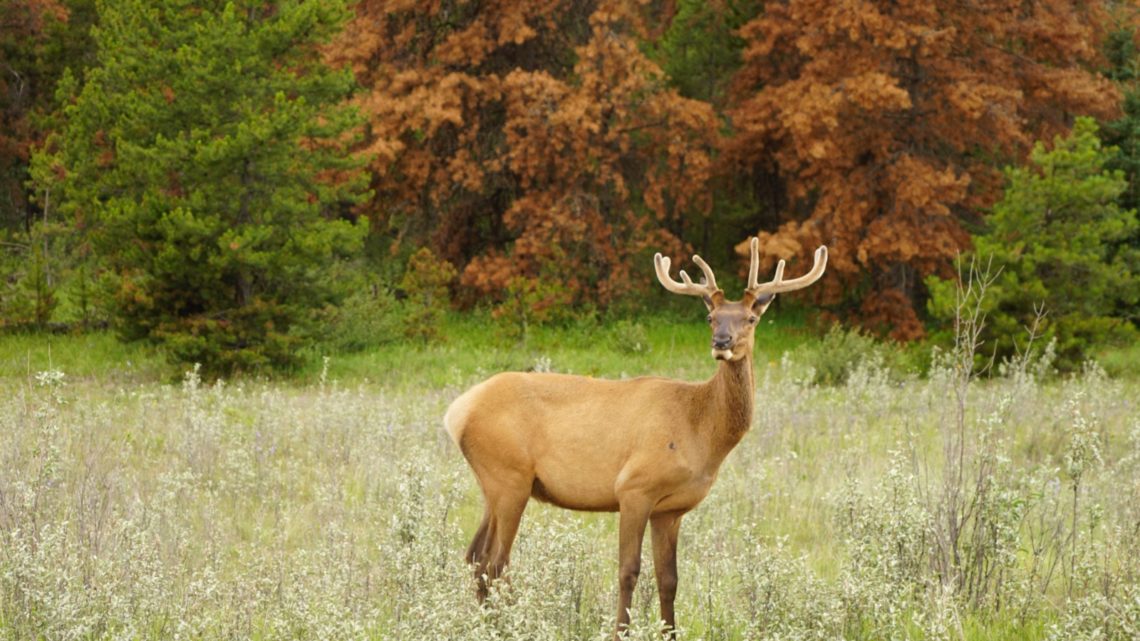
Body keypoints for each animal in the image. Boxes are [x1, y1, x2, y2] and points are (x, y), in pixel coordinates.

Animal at [444, 238, 829, 634]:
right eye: (711, 318)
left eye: (750, 319)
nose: (722, 341)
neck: (700, 431)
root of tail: (457, 411)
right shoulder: (633, 487)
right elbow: (628, 571)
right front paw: (620, 631)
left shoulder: (671, 509)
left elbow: (669, 579)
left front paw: (670, 632)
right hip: (510, 476)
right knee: (495, 561)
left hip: (494, 482)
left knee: (475, 556)